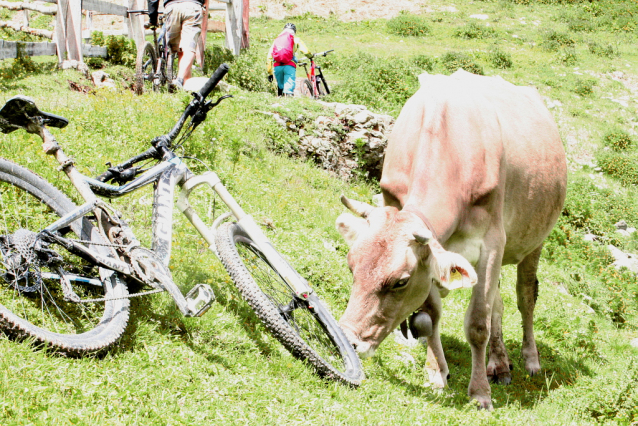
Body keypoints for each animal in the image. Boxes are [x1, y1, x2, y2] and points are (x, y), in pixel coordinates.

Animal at [338, 70, 568, 410]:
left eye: (400, 281)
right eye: (352, 267)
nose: (348, 340)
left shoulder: (492, 244)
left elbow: (477, 323)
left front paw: (480, 394)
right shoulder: (434, 255)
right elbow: (430, 316)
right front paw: (437, 373)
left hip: (533, 240)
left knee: (525, 297)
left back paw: (530, 359)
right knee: (498, 303)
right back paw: (499, 363)